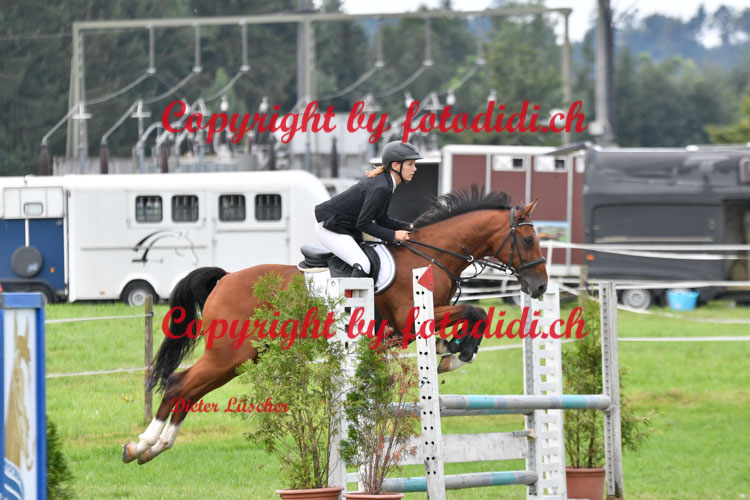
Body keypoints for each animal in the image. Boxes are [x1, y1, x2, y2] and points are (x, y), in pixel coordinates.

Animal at [122, 186, 548, 464]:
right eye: (528, 240)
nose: (540, 286)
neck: (428, 255)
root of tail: (224, 279)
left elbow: (473, 318)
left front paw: (450, 351)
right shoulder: (410, 321)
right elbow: (476, 313)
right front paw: (457, 353)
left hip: (240, 358)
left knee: (188, 390)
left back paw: (153, 448)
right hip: (230, 353)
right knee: (179, 384)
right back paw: (141, 445)